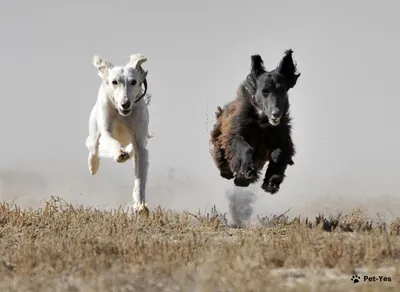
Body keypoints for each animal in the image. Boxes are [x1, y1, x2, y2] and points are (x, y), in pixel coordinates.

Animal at [85, 53, 152, 212]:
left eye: (133, 82)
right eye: (114, 82)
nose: (125, 104)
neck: (123, 115)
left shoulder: (140, 144)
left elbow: (140, 179)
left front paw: (140, 206)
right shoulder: (106, 131)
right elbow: (111, 141)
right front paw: (120, 154)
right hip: (95, 130)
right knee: (93, 147)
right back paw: (93, 165)